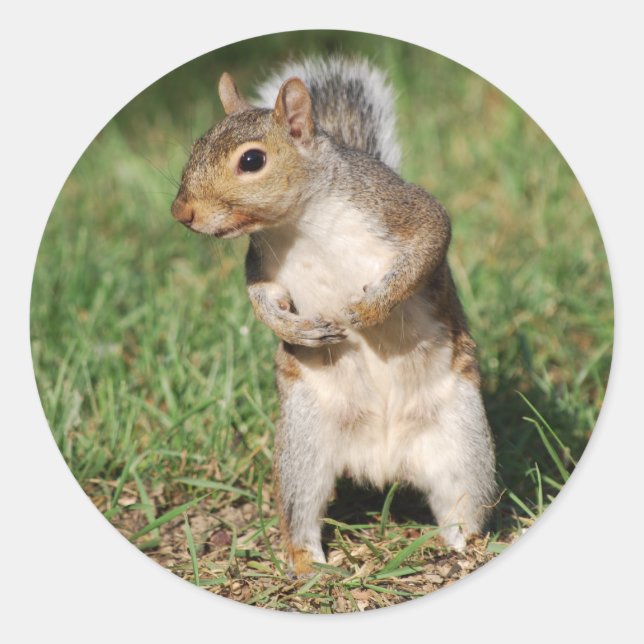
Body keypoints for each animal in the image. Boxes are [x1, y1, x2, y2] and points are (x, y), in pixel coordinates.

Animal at [171, 56, 497, 575]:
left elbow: (430, 238)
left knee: (461, 505)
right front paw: (293, 328)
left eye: (251, 161)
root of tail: (385, 462)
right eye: (198, 144)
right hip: (303, 445)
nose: (181, 211)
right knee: (302, 510)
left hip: (464, 445)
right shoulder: (261, 264)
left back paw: (463, 550)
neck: (301, 223)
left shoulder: (396, 206)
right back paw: (309, 566)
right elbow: (261, 299)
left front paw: (368, 309)